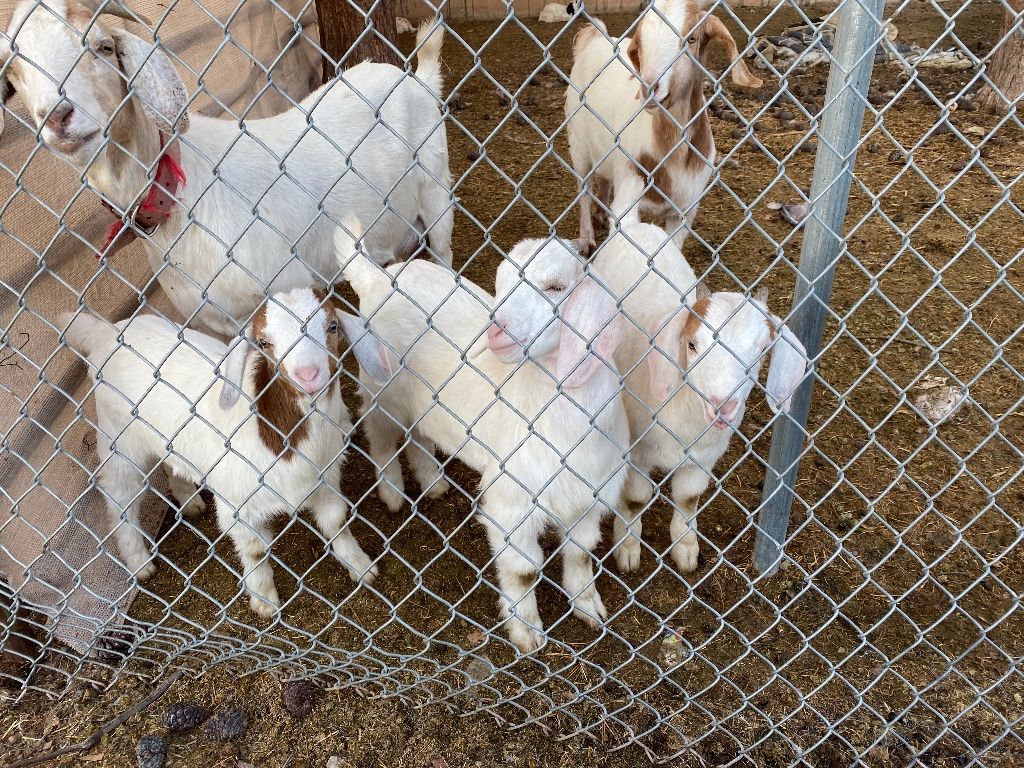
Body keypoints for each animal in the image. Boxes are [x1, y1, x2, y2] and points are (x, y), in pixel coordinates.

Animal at [3, 0, 452, 336]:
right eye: (14, 71)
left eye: (102, 47)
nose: (57, 116)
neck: (182, 195)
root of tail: (416, 78)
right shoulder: (217, 320)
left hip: (437, 194)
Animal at [340, 223, 628, 653]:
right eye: (501, 282)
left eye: (556, 286)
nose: (496, 330)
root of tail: (378, 277)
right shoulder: (512, 501)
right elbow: (524, 569)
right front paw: (526, 631)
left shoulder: (589, 495)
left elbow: (580, 553)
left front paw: (587, 605)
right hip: (380, 387)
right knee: (380, 436)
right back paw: (392, 492)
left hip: (425, 402)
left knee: (419, 435)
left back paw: (433, 482)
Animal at [566, 0, 761, 247]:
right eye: (641, 41)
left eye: (691, 38)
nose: (649, 88)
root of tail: (594, 40)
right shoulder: (628, 198)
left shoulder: (685, 210)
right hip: (578, 143)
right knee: (583, 188)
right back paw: (587, 240)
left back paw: (600, 214)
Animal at [591, 223, 806, 573]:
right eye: (691, 344)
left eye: (763, 350)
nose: (723, 406)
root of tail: (636, 224)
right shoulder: (636, 451)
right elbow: (636, 499)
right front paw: (627, 548)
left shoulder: (704, 458)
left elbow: (688, 498)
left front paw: (686, 549)